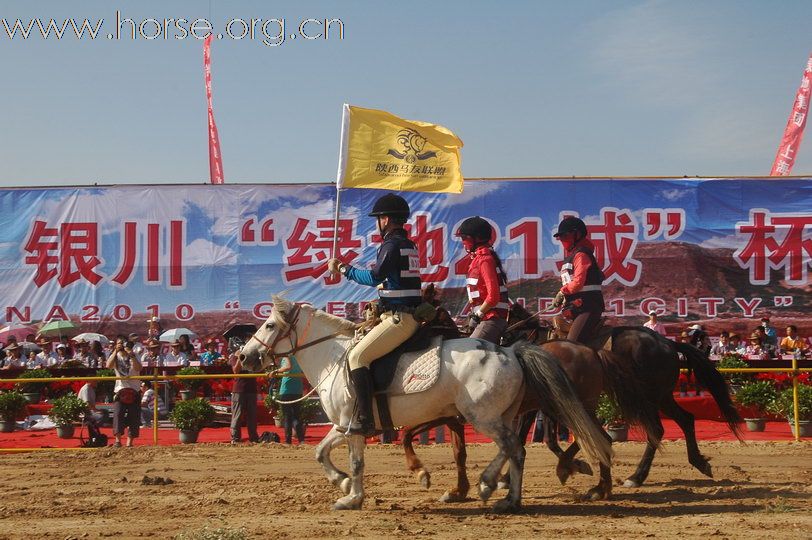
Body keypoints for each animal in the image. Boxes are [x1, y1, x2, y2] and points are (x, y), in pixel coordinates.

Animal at [238, 298, 612, 512]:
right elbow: (320, 452)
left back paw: (494, 485)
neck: (334, 355)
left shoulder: (354, 426)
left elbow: (357, 462)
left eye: (269, 325)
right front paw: (342, 483)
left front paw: (352, 497)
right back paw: (510, 497)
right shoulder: (344, 425)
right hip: (503, 416)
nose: (244, 357)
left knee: (514, 447)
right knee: (516, 450)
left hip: (484, 417)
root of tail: (510, 350)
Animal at [402, 304, 744, 502]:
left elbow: (544, 439)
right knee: (677, 422)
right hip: (655, 397)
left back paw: (638, 476)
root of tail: (667, 342)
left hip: (650, 396)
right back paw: (668, 469)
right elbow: (542, 439)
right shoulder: (531, 409)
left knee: (664, 427)